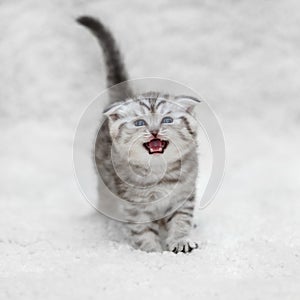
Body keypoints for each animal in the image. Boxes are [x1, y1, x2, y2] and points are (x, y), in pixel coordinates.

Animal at [77, 15, 199, 252]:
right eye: (140, 123)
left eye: (167, 120)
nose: (154, 131)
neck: (160, 173)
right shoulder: (134, 205)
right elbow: (143, 231)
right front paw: (151, 251)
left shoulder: (183, 195)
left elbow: (181, 220)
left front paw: (180, 240)